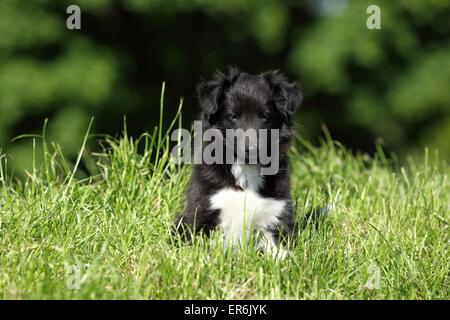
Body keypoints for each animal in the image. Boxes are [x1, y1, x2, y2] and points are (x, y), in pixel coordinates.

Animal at [173, 68, 302, 260]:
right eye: (233, 116)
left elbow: (279, 251)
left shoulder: (275, 215)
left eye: (265, 116)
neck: (246, 169)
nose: (251, 149)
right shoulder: (201, 212)